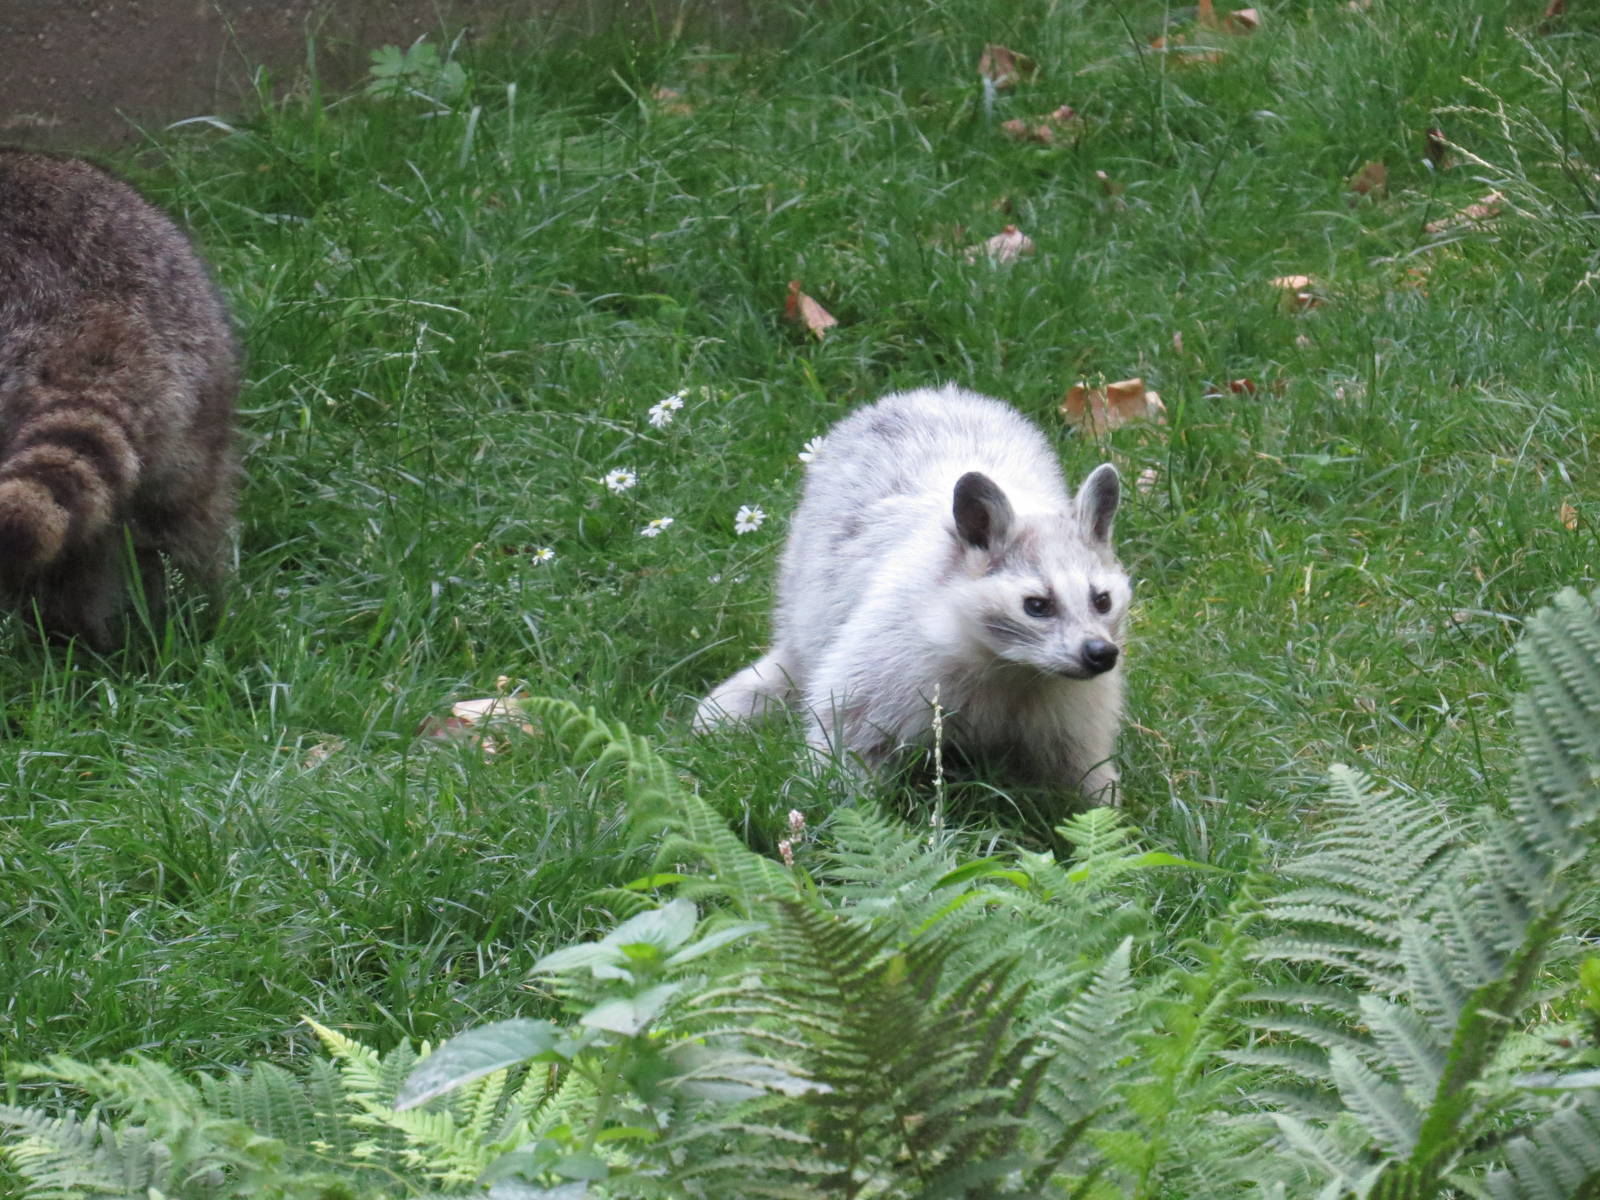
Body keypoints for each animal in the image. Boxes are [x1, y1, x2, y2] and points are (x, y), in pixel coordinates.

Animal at [696, 384, 1130, 803]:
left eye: (1102, 601)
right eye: (1036, 605)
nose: (1100, 654)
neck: (1014, 665)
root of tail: (929, 395)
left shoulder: (1070, 701)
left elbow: (1079, 766)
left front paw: (1101, 810)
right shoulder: (893, 656)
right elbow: (846, 733)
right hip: (806, 578)